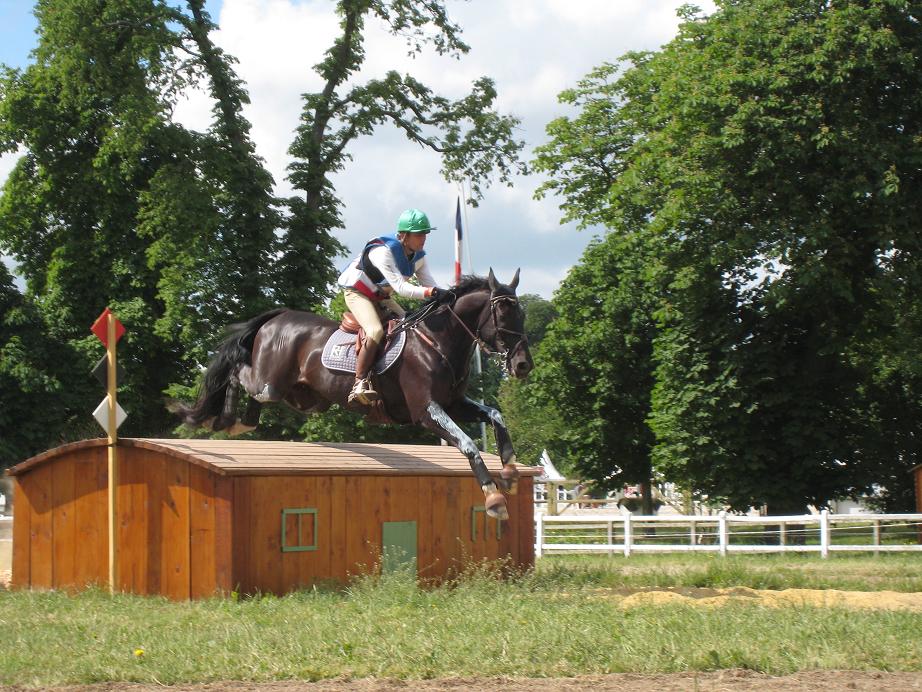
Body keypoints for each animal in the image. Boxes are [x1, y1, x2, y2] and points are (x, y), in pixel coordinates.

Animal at [176, 270, 532, 520]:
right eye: (503, 316)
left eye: (523, 315)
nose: (523, 364)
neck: (438, 342)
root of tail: (278, 316)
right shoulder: (426, 411)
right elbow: (468, 444)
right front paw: (494, 498)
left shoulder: (453, 405)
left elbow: (496, 416)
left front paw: (510, 473)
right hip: (270, 383)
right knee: (237, 370)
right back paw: (223, 418)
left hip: (304, 397)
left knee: (254, 402)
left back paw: (236, 423)